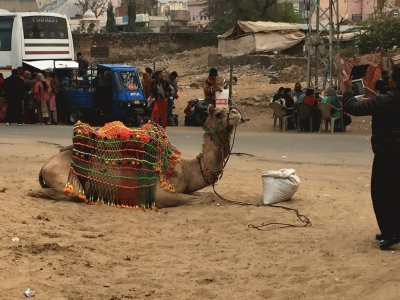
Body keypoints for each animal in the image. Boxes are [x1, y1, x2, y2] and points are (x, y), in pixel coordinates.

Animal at [30, 106, 241, 207]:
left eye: (230, 105)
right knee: (65, 193)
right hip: (67, 179)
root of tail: (44, 166)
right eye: (219, 113)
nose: (236, 113)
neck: (187, 169)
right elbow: (205, 199)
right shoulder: (160, 194)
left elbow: (206, 195)